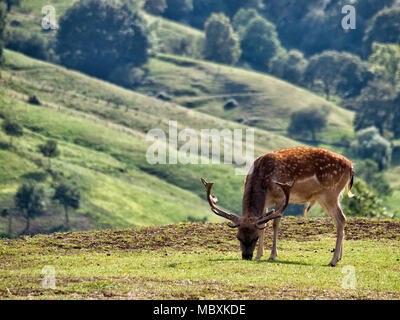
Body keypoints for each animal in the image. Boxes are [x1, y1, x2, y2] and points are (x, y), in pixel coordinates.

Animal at [202, 146, 354, 266]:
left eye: (255, 238)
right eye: (238, 237)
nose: (246, 256)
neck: (262, 177)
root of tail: (351, 166)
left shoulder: (281, 197)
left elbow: (275, 224)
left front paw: (272, 255)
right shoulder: (265, 202)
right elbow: (263, 225)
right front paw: (259, 255)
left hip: (331, 193)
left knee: (341, 218)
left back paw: (332, 261)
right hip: (324, 197)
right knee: (338, 220)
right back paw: (339, 257)